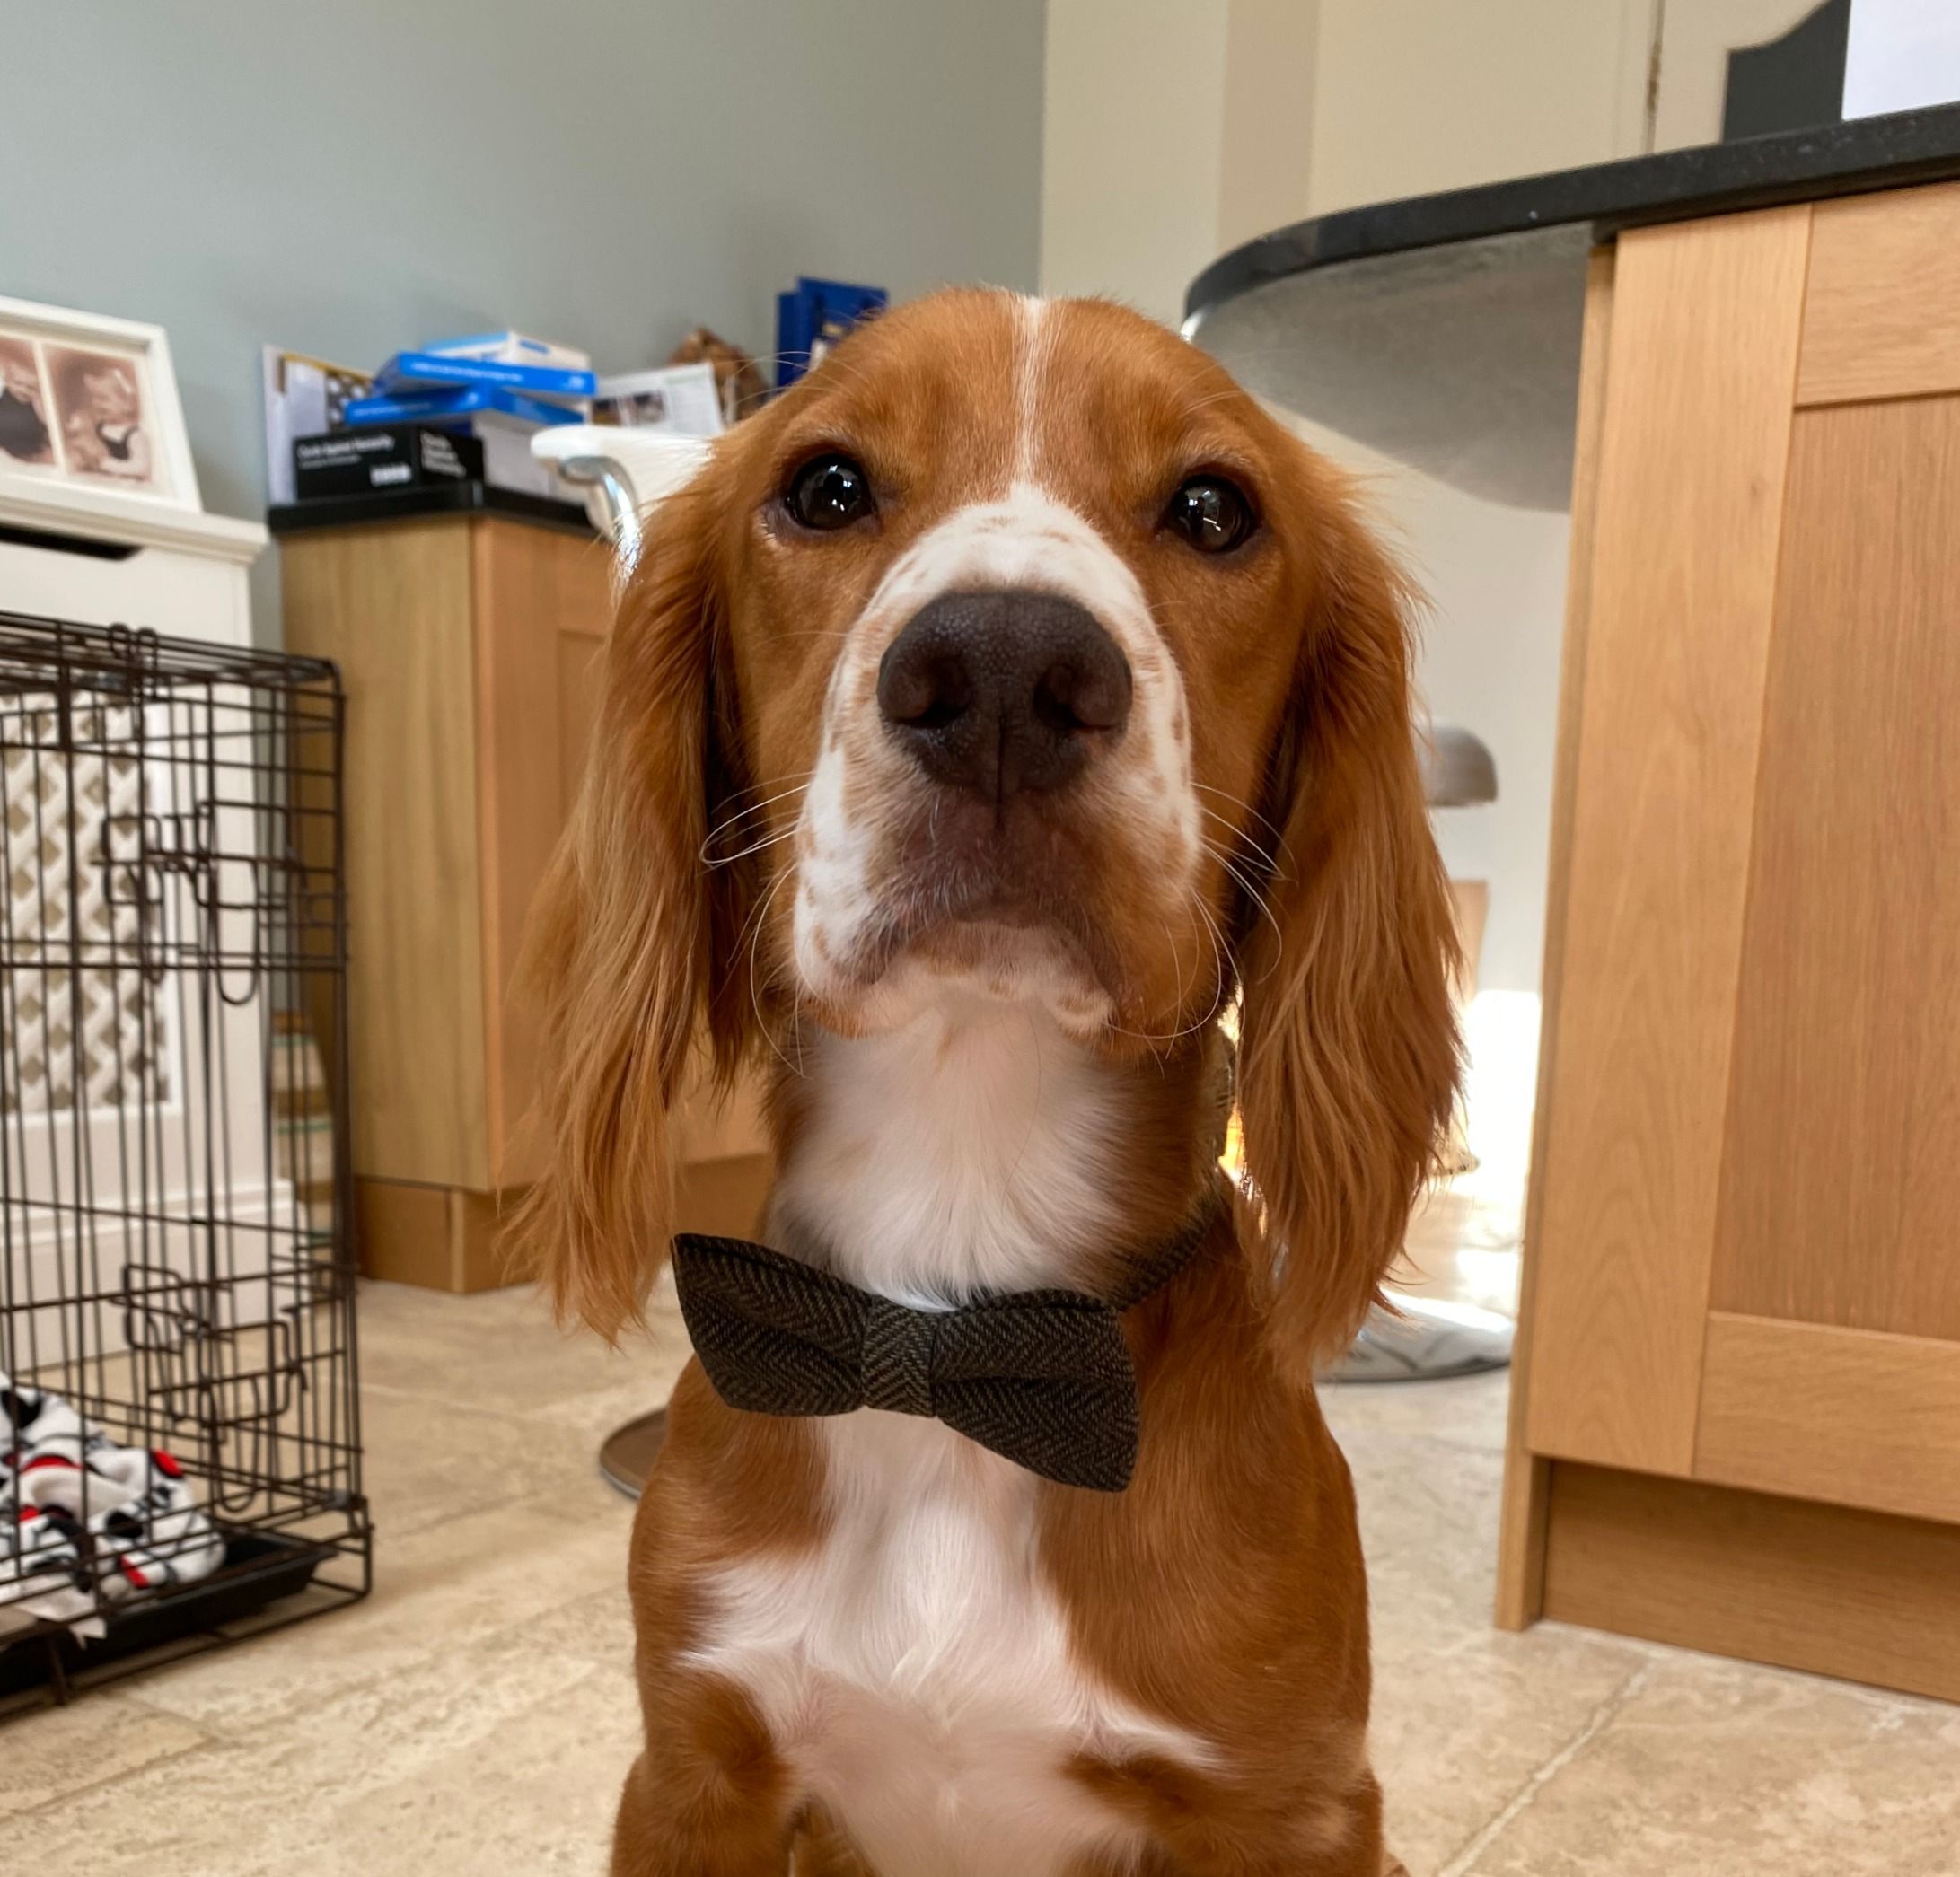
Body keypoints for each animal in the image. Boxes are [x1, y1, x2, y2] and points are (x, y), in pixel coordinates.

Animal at [521, 285, 1458, 1873]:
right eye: (826, 487)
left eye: (1213, 510)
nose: (1008, 672)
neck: (944, 1314)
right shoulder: (693, 1768)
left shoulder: (1290, 1807)